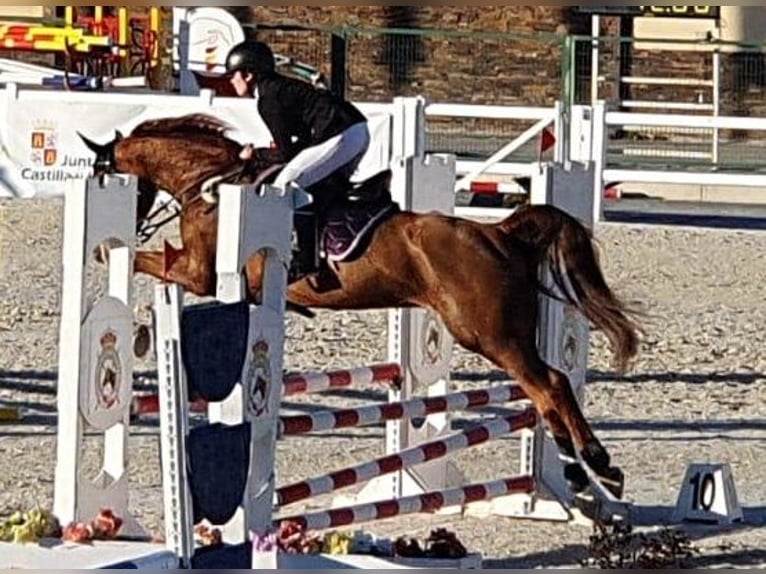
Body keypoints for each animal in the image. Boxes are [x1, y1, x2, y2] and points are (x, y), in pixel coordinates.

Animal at [79, 115, 640, 506]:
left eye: (106, 174)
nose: (135, 219)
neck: (212, 182)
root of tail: (499, 234)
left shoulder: (199, 273)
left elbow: (143, 262)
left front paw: (140, 330)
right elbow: (144, 263)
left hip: (489, 335)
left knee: (548, 387)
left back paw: (590, 466)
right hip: (506, 334)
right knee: (554, 385)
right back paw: (590, 471)